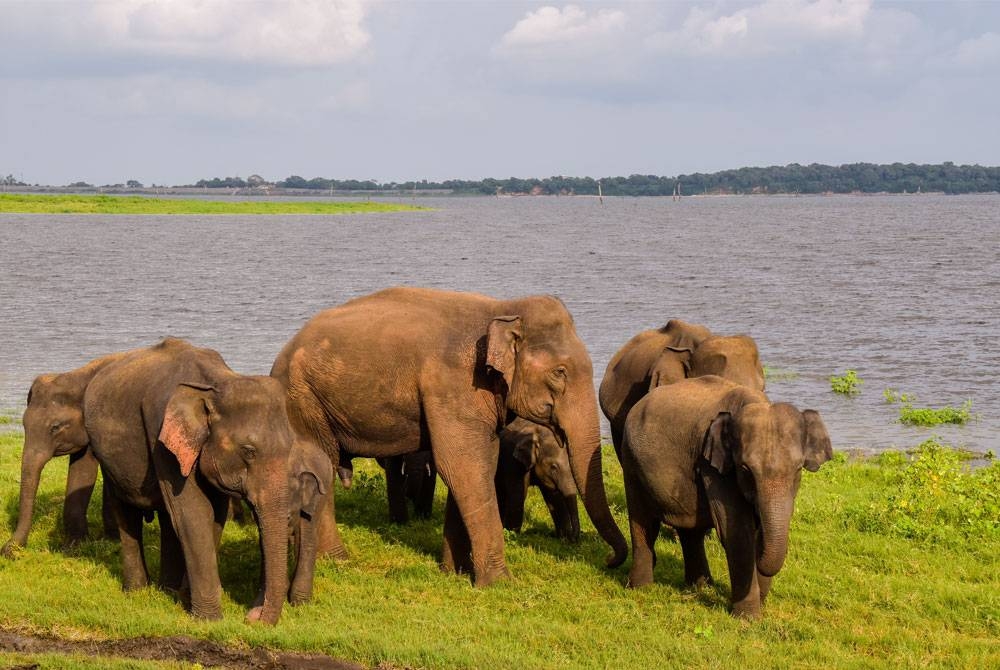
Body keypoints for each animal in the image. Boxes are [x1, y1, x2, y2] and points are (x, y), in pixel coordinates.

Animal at [0, 352, 132, 556]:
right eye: (24, 424)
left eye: (55, 427)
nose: (8, 551)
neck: (79, 375)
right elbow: (81, 469)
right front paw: (74, 547)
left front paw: (111, 542)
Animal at [84, 338, 292, 628]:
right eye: (249, 451)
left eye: (290, 448)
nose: (252, 618)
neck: (216, 384)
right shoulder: (161, 434)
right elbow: (194, 514)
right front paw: (209, 620)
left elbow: (213, 515)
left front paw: (187, 601)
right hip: (107, 456)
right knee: (126, 510)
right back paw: (137, 591)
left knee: (167, 517)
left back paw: (168, 591)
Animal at [270, 286, 628, 584]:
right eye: (559, 372)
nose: (609, 560)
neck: (503, 308)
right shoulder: (454, 384)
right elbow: (462, 465)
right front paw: (499, 583)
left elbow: (479, 464)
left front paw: (454, 573)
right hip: (302, 399)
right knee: (321, 468)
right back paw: (338, 560)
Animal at [620, 376, 832, 624]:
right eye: (745, 470)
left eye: (798, 470)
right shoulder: (713, 467)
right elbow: (737, 533)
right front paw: (749, 619)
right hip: (631, 462)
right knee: (643, 522)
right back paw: (641, 588)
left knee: (690, 528)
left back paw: (701, 587)